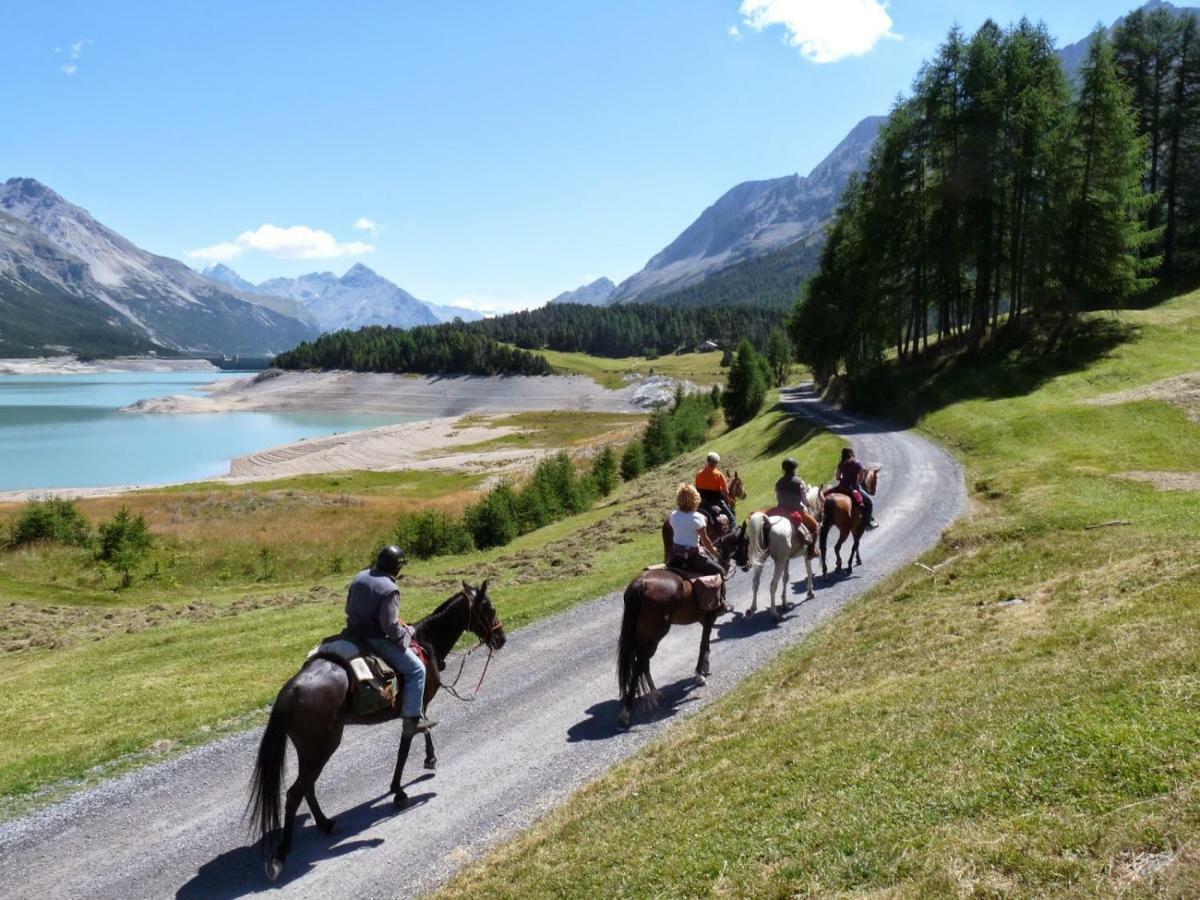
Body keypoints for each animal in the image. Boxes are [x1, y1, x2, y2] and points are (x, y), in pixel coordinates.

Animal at [246, 578, 504, 883]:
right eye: (488, 609)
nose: (501, 639)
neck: (425, 643)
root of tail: (289, 691)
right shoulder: (415, 702)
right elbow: (407, 744)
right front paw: (399, 791)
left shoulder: (418, 705)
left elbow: (422, 731)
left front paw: (429, 759)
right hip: (322, 747)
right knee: (296, 792)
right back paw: (282, 854)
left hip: (308, 750)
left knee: (305, 786)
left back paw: (325, 824)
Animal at [614, 528, 744, 734]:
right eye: (746, 541)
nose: (747, 563)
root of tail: (640, 585)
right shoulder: (709, 619)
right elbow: (703, 644)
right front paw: (699, 675)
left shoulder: (704, 621)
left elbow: (706, 644)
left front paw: (704, 667)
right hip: (656, 633)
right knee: (641, 662)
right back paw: (627, 712)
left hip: (643, 633)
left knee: (642, 661)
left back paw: (654, 693)